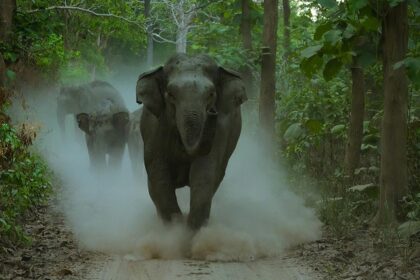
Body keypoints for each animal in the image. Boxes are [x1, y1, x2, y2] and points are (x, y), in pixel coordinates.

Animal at [136, 54, 248, 230]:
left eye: (211, 94)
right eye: (171, 94)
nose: (212, 112)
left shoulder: (222, 129)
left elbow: (205, 172)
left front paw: (189, 231)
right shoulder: (154, 127)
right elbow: (158, 173)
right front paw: (174, 228)